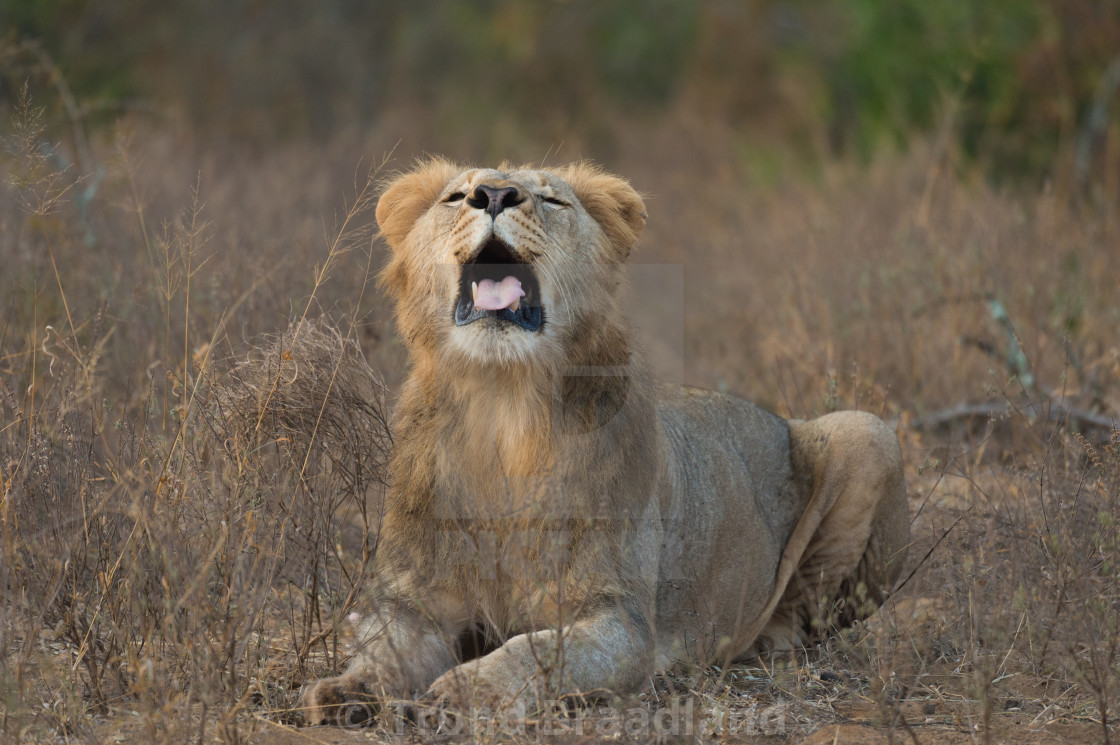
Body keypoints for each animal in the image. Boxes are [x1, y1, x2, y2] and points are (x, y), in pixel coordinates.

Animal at [300, 160, 909, 721]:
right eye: (456, 196)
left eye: (552, 199)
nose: (493, 194)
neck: (502, 412)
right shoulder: (413, 601)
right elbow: (384, 648)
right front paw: (346, 690)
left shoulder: (621, 619)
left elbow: (533, 651)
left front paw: (467, 691)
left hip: (868, 431)